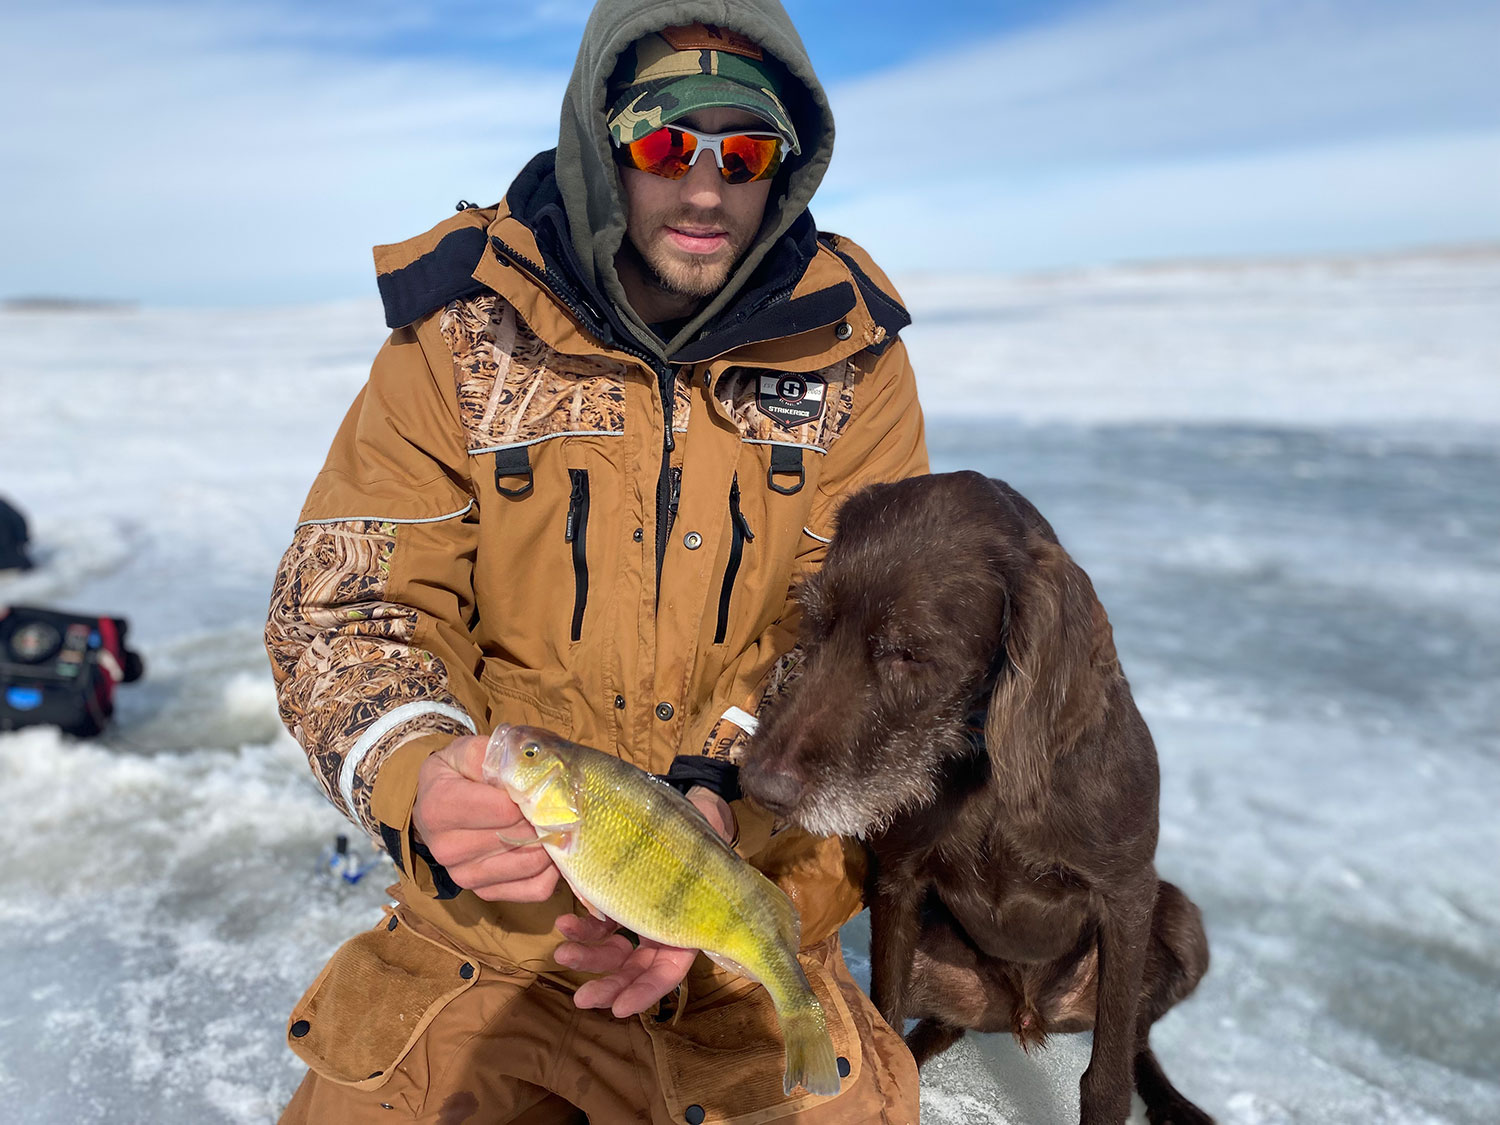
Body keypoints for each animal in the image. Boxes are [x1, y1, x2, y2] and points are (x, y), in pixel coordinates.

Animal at [744, 474, 1212, 1125]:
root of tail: (1025, 1015)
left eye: (909, 652)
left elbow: (1108, 1074)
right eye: (815, 622)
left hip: (1179, 926)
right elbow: (888, 1026)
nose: (758, 785)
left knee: (1139, 1037)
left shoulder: (1127, 896)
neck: (988, 775)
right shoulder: (898, 885)